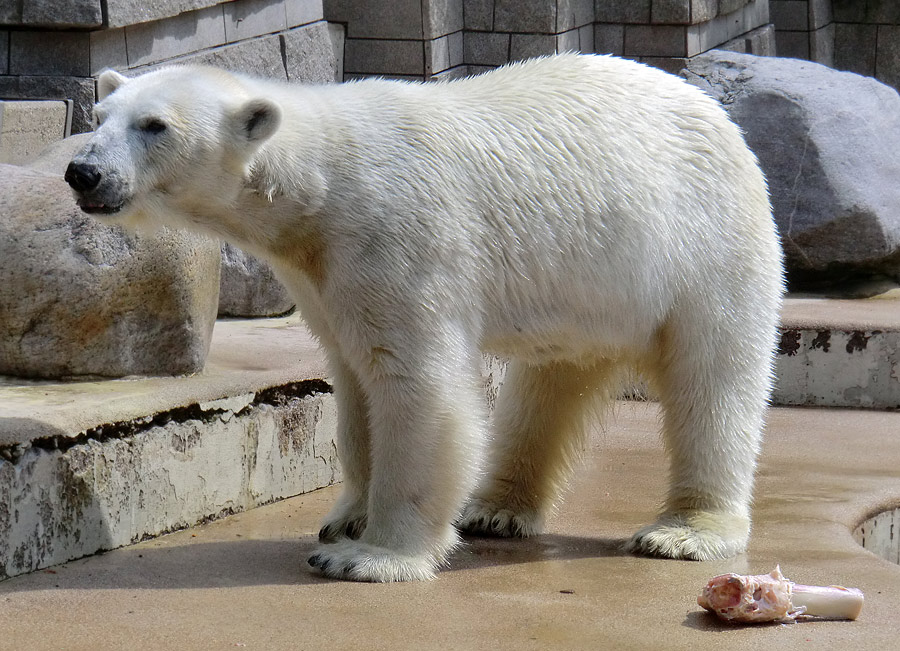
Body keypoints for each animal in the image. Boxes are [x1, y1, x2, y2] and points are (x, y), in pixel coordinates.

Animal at [67, 54, 780, 584]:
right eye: (98, 116)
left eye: (155, 125)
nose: (82, 171)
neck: (320, 184)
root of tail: (714, 112)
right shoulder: (322, 277)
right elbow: (353, 384)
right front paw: (347, 518)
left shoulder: (398, 240)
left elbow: (417, 387)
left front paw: (369, 555)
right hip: (595, 285)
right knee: (547, 386)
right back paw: (495, 509)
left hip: (705, 247)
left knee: (713, 382)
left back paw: (684, 532)